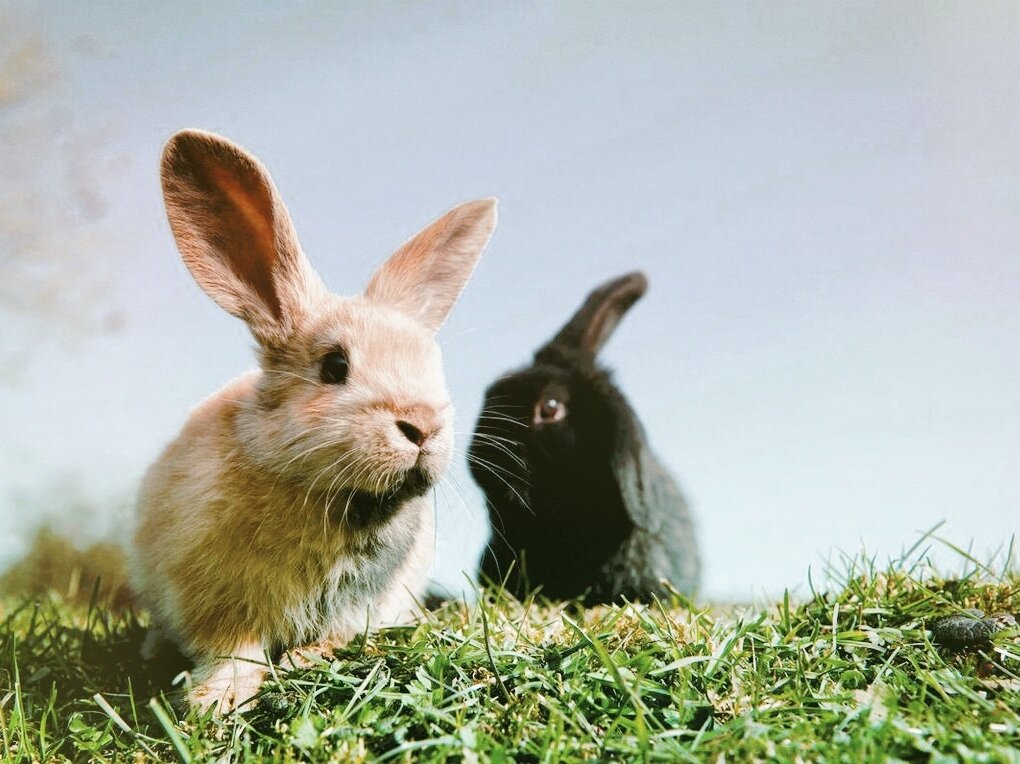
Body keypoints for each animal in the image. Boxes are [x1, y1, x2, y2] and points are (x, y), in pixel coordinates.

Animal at [131, 129, 497, 709]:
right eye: (334, 366)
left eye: (434, 366)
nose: (421, 425)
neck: (334, 498)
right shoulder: (215, 600)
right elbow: (235, 647)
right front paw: (216, 698)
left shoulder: (366, 602)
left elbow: (338, 636)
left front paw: (304, 661)